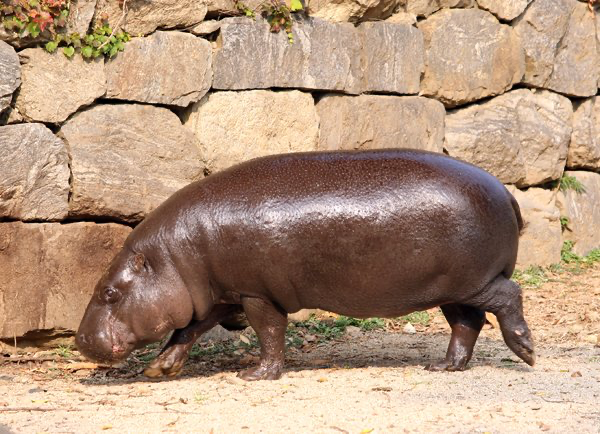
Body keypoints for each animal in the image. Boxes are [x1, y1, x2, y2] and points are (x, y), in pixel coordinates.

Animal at [75, 149, 536, 380]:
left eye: (109, 292)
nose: (79, 340)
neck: (173, 255)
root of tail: (506, 190)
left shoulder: (255, 293)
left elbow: (269, 332)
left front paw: (256, 376)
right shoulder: (221, 294)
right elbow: (187, 330)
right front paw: (158, 369)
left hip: (474, 279)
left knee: (507, 297)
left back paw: (527, 352)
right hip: (450, 288)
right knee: (467, 323)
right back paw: (443, 366)